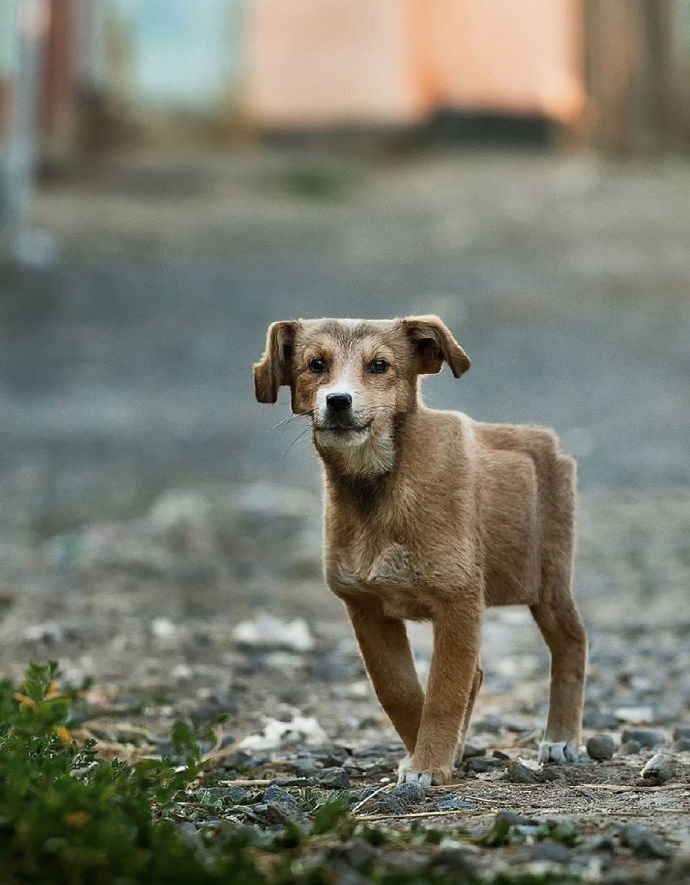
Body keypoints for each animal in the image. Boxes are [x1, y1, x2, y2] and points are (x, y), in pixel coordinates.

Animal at [253, 314, 584, 784]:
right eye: (316, 364)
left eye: (380, 365)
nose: (338, 401)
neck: (379, 484)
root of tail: (545, 441)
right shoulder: (365, 607)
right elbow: (401, 691)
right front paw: (429, 757)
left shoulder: (459, 600)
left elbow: (443, 692)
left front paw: (428, 765)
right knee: (476, 674)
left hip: (550, 582)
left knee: (572, 644)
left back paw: (561, 739)